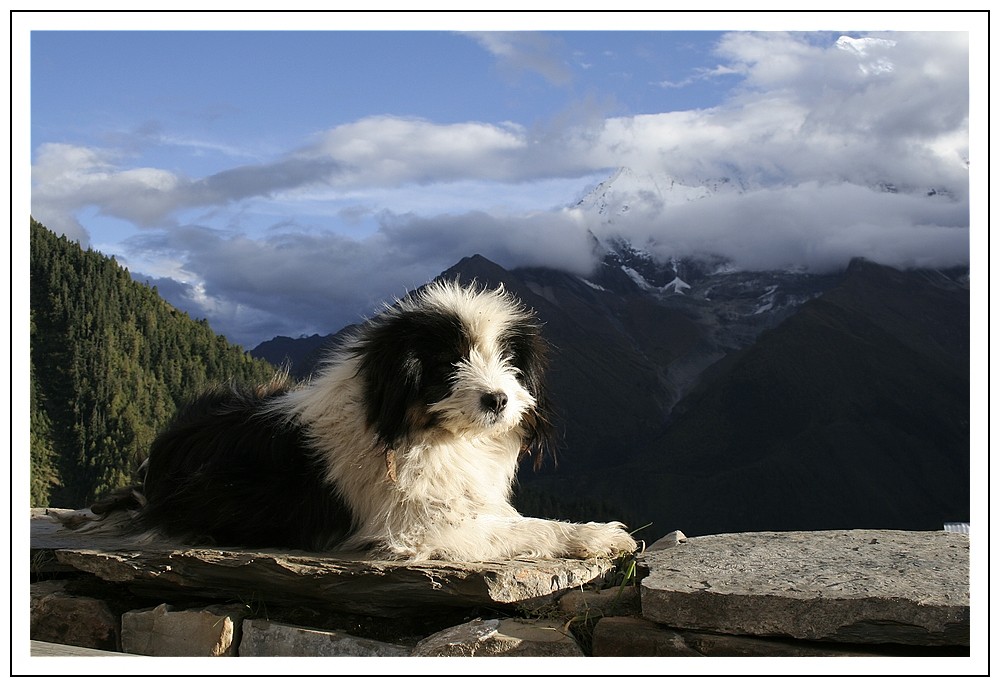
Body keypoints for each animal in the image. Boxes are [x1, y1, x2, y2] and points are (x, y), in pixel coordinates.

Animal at [133, 282, 636, 560]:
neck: (436, 437)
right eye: (448, 363)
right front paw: (597, 536)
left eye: (509, 361)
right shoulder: (418, 529)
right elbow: (526, 527)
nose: (498, 399)